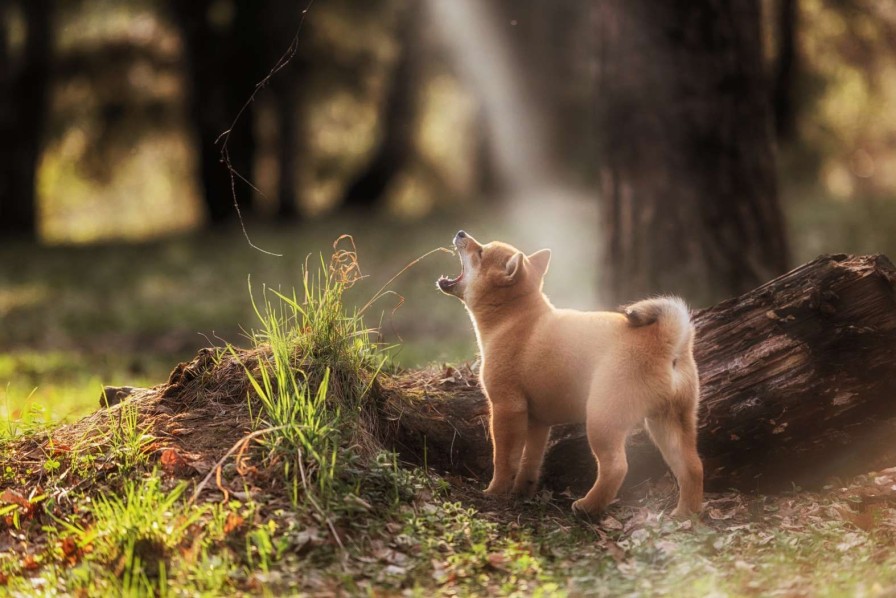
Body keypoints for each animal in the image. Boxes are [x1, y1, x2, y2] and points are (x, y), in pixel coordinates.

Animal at [438, 232, 704, 516]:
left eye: (481, 253)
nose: (461, 233)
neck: (513, 319)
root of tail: (665, 339)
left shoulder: (506, 407)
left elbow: (504, 459)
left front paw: (495, 491)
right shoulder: (538, 421)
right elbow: (530, 461)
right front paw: (522, 491)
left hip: (602, 419)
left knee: (616, 467)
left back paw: (587, 506)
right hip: (669, 423)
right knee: (693, 467)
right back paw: (685, 514)